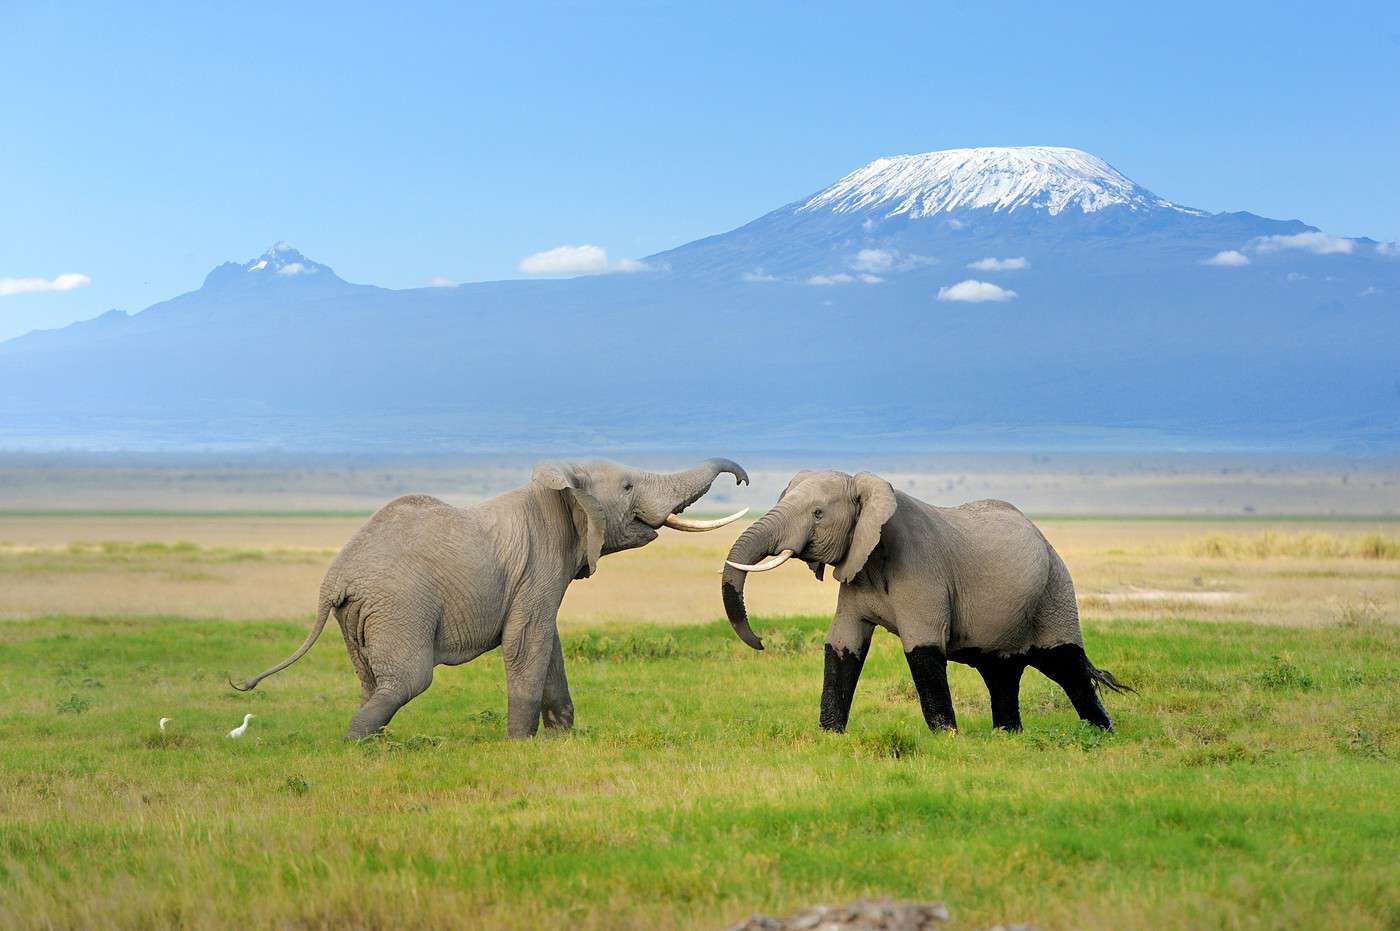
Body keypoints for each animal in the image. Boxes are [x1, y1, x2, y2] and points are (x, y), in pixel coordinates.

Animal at [231, 456, 750, 733]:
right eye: (626, 487)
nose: (743, 478)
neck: (558, 486)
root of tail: (333, 581)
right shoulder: (539, 566)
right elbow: (528, 642)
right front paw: (522, 745)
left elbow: (548, 645)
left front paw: (562, 739)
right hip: (398, 605)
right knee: (408, 681)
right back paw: (359, 745)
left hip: (359, 615)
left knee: (372, 682)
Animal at [722, 473, 1125, 733]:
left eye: (818, 514)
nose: (760, 642)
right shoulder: (857, 569)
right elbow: (842, 645)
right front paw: (829, 735)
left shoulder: (922, 573)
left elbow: (923, 649)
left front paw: (946, 738)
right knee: (1002, 672)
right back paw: (1009, 735)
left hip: (1055, 591)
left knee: (1066, 665)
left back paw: (1102, 733)